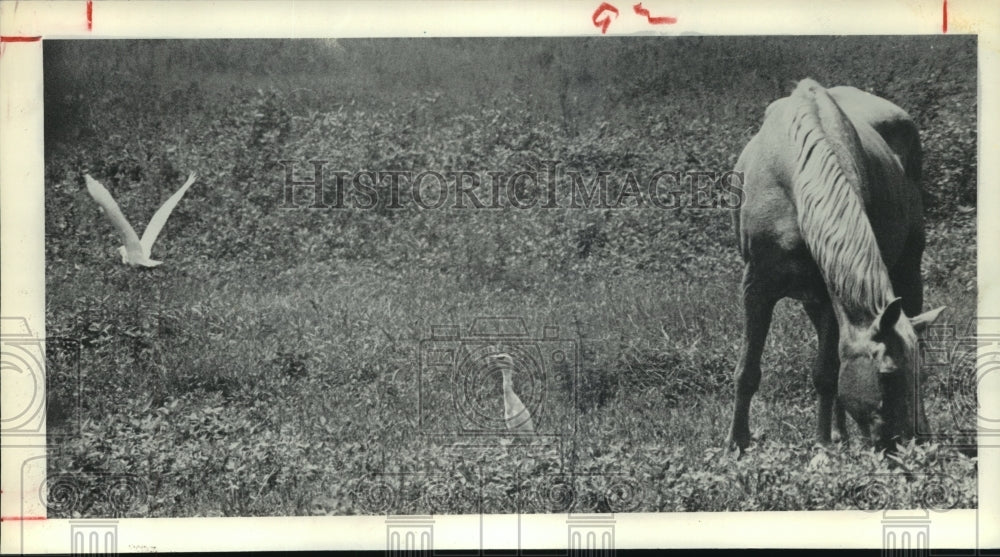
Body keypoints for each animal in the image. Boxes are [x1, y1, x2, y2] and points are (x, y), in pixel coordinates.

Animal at [728, 79, 944, 452]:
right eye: (887, 375)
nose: (911, 444)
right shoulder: (757, 286)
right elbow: (747, 370)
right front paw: (736, 444)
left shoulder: (830, 293)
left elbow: (826, 374)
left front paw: (822, 446)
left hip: (907, 268)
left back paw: (837, 435)